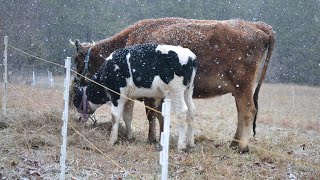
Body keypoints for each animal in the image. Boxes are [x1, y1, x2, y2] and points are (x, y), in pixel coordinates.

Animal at [70, 16, 276, 153]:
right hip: (238, 90)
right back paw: (233, 143)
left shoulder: (147, 94)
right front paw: (160, 137)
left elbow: (152, 114)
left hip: (243, 86)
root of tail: (256, 26)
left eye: (77, 61)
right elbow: (159, 116)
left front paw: (152, 138)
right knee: (241, 112)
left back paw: (242, 146)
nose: (74, 87)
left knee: (248, 111)